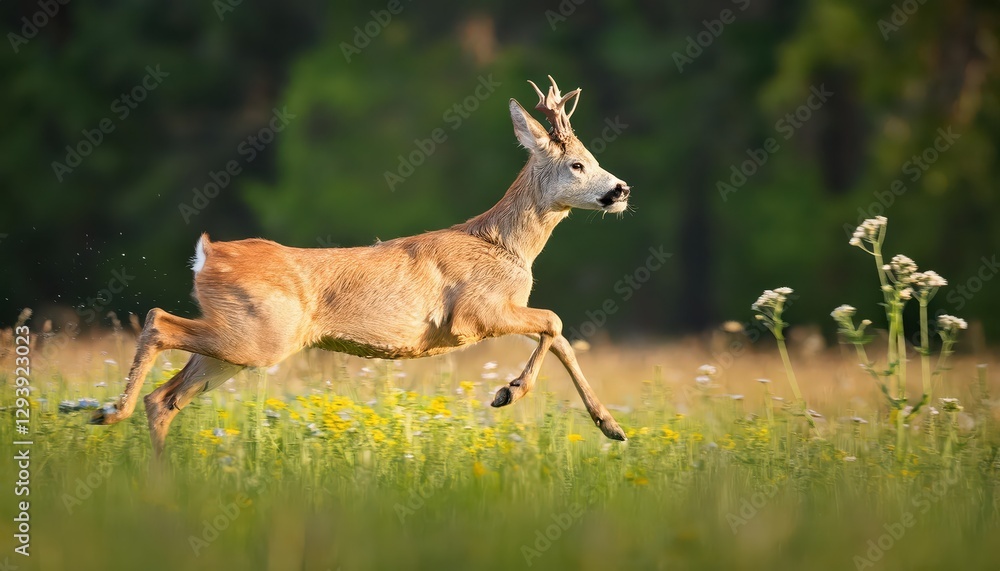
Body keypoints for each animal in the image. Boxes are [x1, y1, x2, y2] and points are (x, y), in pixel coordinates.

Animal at [91, 75, 632, 458]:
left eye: (592, 157)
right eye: (578, 165)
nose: (621, 189)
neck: (506, 247)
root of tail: (207, 253)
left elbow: (559, 334)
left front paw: (611, 426)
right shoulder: (474, 313)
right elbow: (555, 322)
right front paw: (510, 392)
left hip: (236, 345)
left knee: (164, 399)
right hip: (260, 335)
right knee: (157, 322)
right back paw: (108, 415)